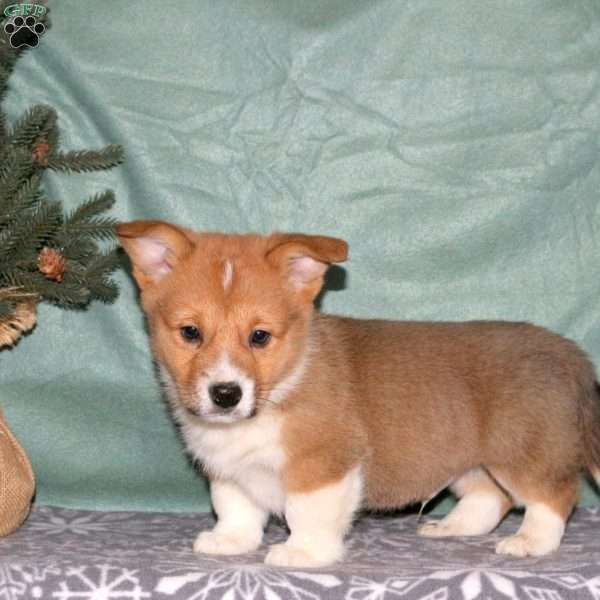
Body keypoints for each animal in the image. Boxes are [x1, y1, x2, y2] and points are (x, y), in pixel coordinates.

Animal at [117, 220, 600, 568]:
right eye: (190, 332)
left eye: (259, 336)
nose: (225, 394)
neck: (281, 389)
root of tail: (569, 354)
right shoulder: (229, 471)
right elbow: (235, 508)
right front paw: (229, 542)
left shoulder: (323, 464)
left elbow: (307, 513)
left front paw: (303, 554)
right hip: (467, 458)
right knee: (491, 497)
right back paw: (451, 527)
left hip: (523, 454)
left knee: (554, 496)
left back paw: (529, 542)